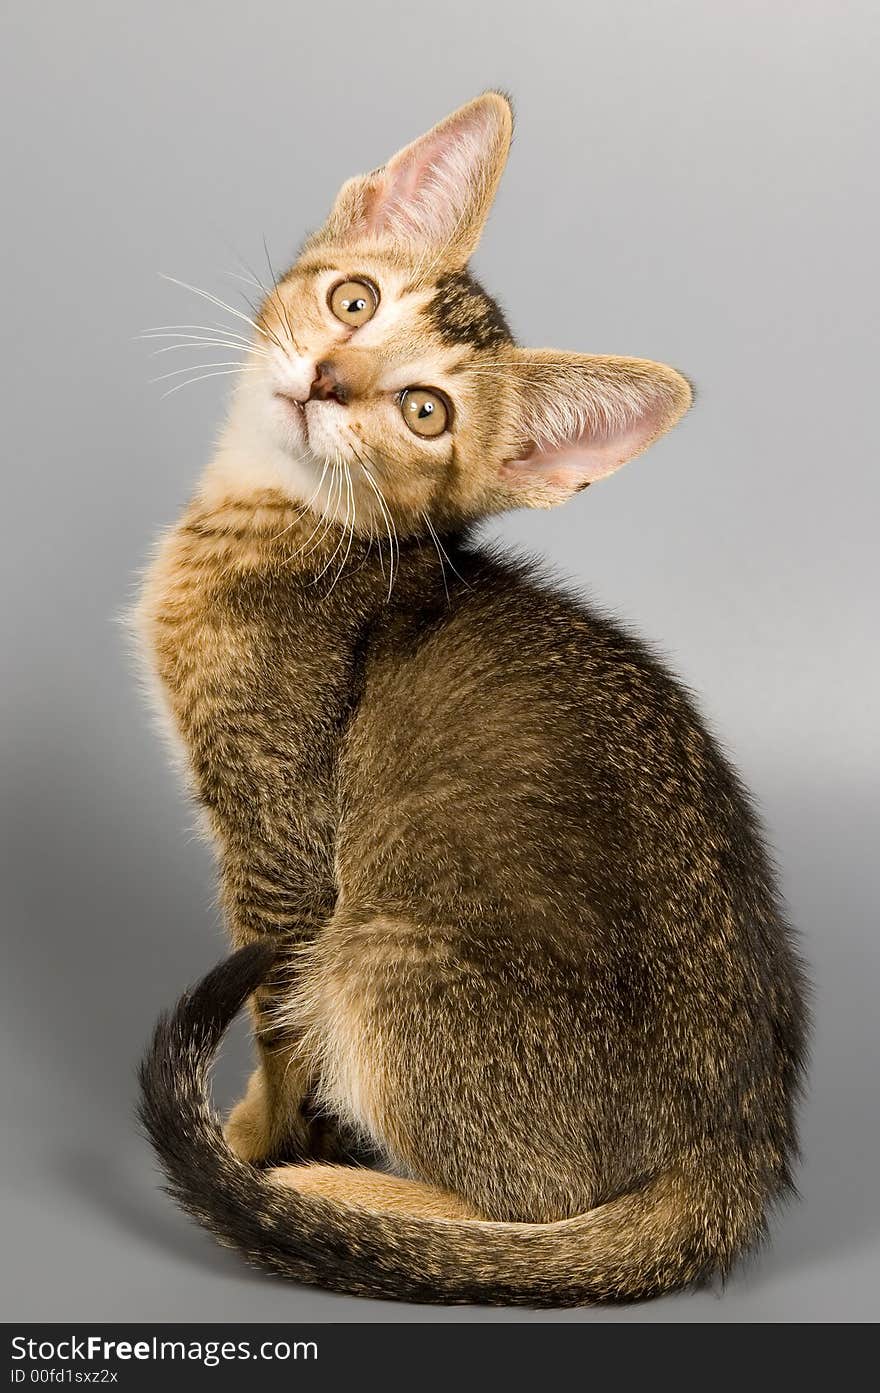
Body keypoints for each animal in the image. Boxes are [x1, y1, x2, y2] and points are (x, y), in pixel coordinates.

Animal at [135, 92, 802, 1298]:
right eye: (353, 300)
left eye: (423, 412)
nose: (328, 379)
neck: (286, 520)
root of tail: (737, 1141)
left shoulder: (282, 850)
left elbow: (276, 1026)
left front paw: (255, 1138)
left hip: (376, 953)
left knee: (526, 1210)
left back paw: (343, 1198)